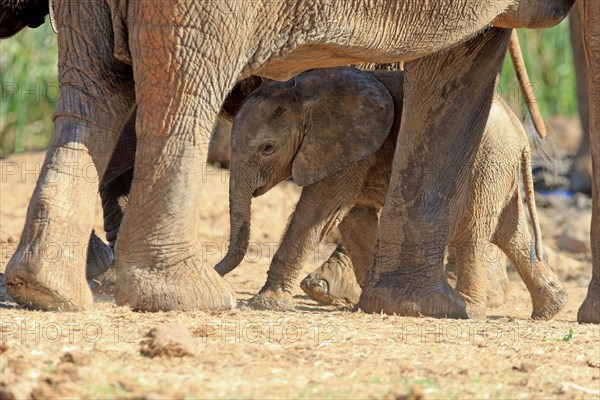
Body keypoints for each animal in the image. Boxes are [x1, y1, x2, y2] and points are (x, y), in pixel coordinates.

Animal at [217, 67, 568, 320]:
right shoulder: (354, 150)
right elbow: (353, 218)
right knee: (510, 231)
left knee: (473, 229)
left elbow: (320, 209)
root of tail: (521, 134)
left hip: (485, 162)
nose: (215, 269)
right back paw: (550, 309)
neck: (301, 92)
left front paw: (265, 304)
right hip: (498, 167)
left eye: (268, 148)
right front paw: (368, 302)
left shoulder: (349, 146)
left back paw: (468, 309)